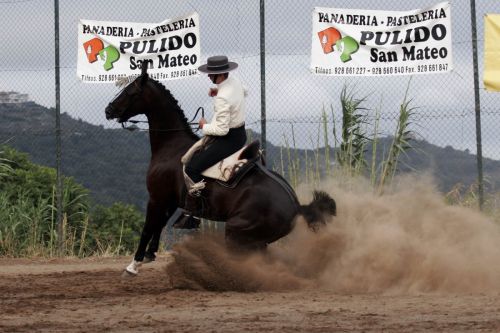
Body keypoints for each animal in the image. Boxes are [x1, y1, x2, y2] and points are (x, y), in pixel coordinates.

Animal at [104, 66, 336, 274]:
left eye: (130, 91)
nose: (108, 110)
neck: (171, 148)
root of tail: (296, 205)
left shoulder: (157, 198)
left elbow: (147, 228)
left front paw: (133, 265)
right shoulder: (170, 201)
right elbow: (159, 226)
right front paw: (149, 254)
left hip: (236, 231)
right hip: (254, 240)